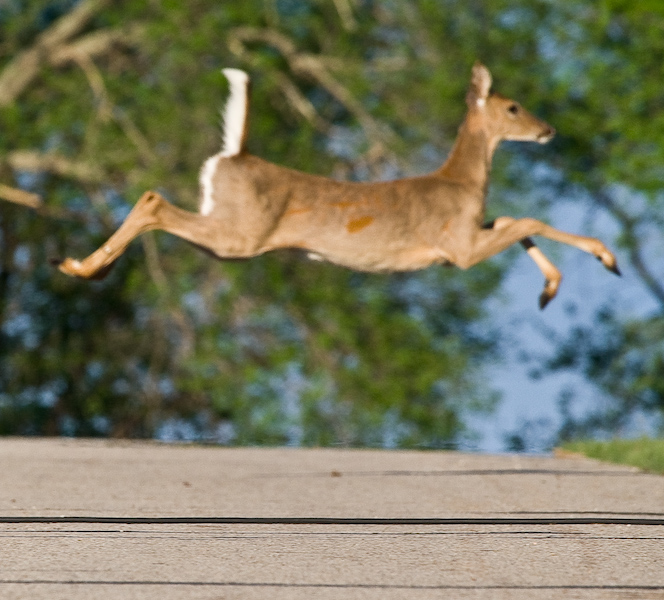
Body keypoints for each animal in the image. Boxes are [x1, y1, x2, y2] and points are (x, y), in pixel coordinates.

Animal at [55, 64, 616, 310]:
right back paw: (83, 268)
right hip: (240, 234)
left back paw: (80, 266)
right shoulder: (457, 248)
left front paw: (549, 288)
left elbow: (513, 219)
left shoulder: (469, 235)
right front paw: (605, 258)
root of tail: (234, 155)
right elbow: (527, 217)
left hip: (226, 234)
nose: (548, 130)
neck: (461, 182)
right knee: (153, 200)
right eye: (514, 106)